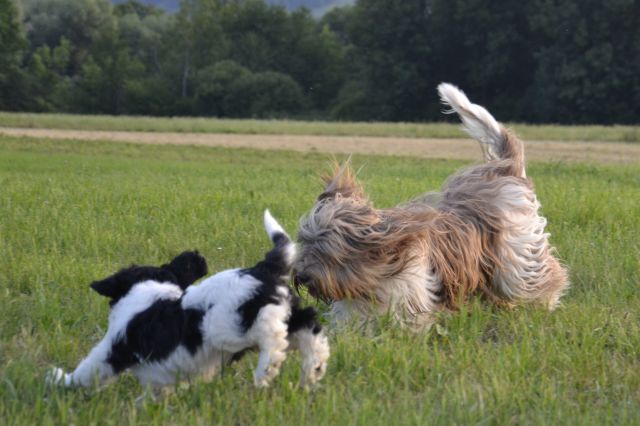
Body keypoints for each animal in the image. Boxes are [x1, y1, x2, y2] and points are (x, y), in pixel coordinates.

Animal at [48, 211, 330, 388]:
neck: (147, 290)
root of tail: (262, 269)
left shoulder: (114, 348)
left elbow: (89, 369)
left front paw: (58, 379)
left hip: (229, 326)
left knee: (271, 337)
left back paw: (266, 369)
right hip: (286, 311)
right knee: (309, 328)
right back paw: (314, 368)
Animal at [292, 84, 568, 330]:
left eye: (327, 250)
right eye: (305, 243)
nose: (301, 275)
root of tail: (503, 171)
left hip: (515, 256)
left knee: (541, 278)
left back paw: (545, 303)